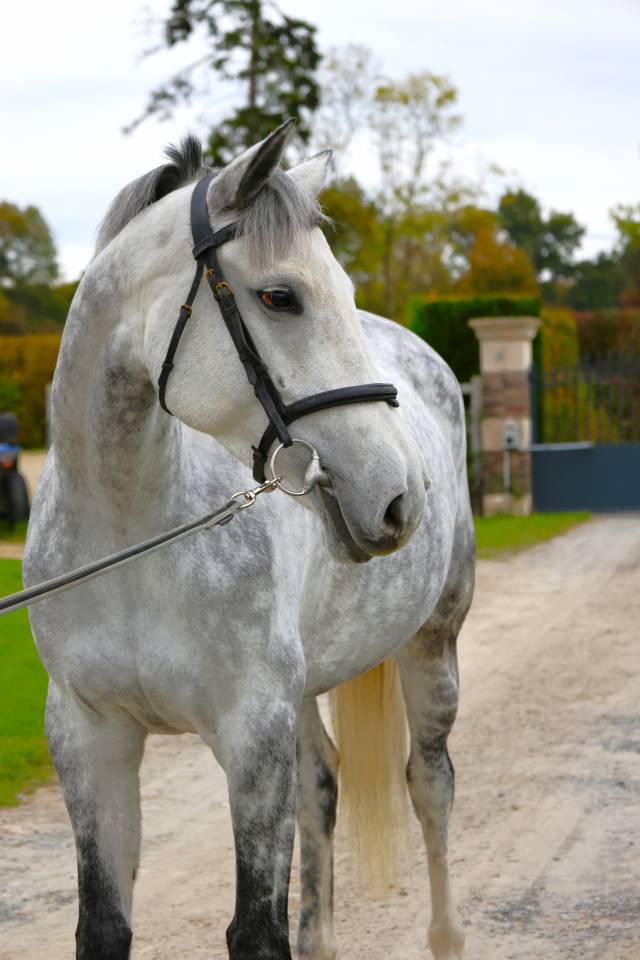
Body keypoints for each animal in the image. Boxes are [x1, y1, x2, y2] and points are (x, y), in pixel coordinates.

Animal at [24, 119, 475, 960]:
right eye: (279, 296)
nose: (400, 496)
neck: (134, 541)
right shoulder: (88, 735)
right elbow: (104, 923)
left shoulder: (251, 736)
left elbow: (258, 929)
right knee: (324, 789)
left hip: (433, 649)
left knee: (431, 787)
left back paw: (448, 935)